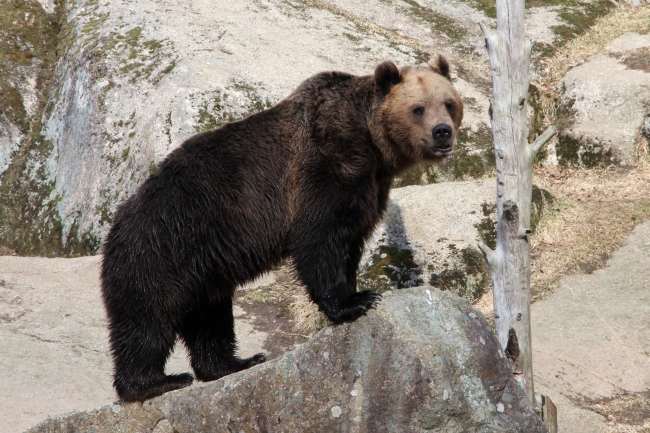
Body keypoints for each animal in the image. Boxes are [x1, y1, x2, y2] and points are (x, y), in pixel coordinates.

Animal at [100, 54, 460, 402]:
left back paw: (234, 363)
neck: (371, 144)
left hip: (202, 268)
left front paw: (355, 290)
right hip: (162, 245)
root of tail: (117, 219)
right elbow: (320, 237)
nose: (443, 132)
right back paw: (155, 382)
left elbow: (351, 240)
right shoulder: (325, 166)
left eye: (449, 103)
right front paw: (355, 301)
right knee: (148, 318)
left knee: (209, 317)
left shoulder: (370, 187)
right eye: (418, 108)